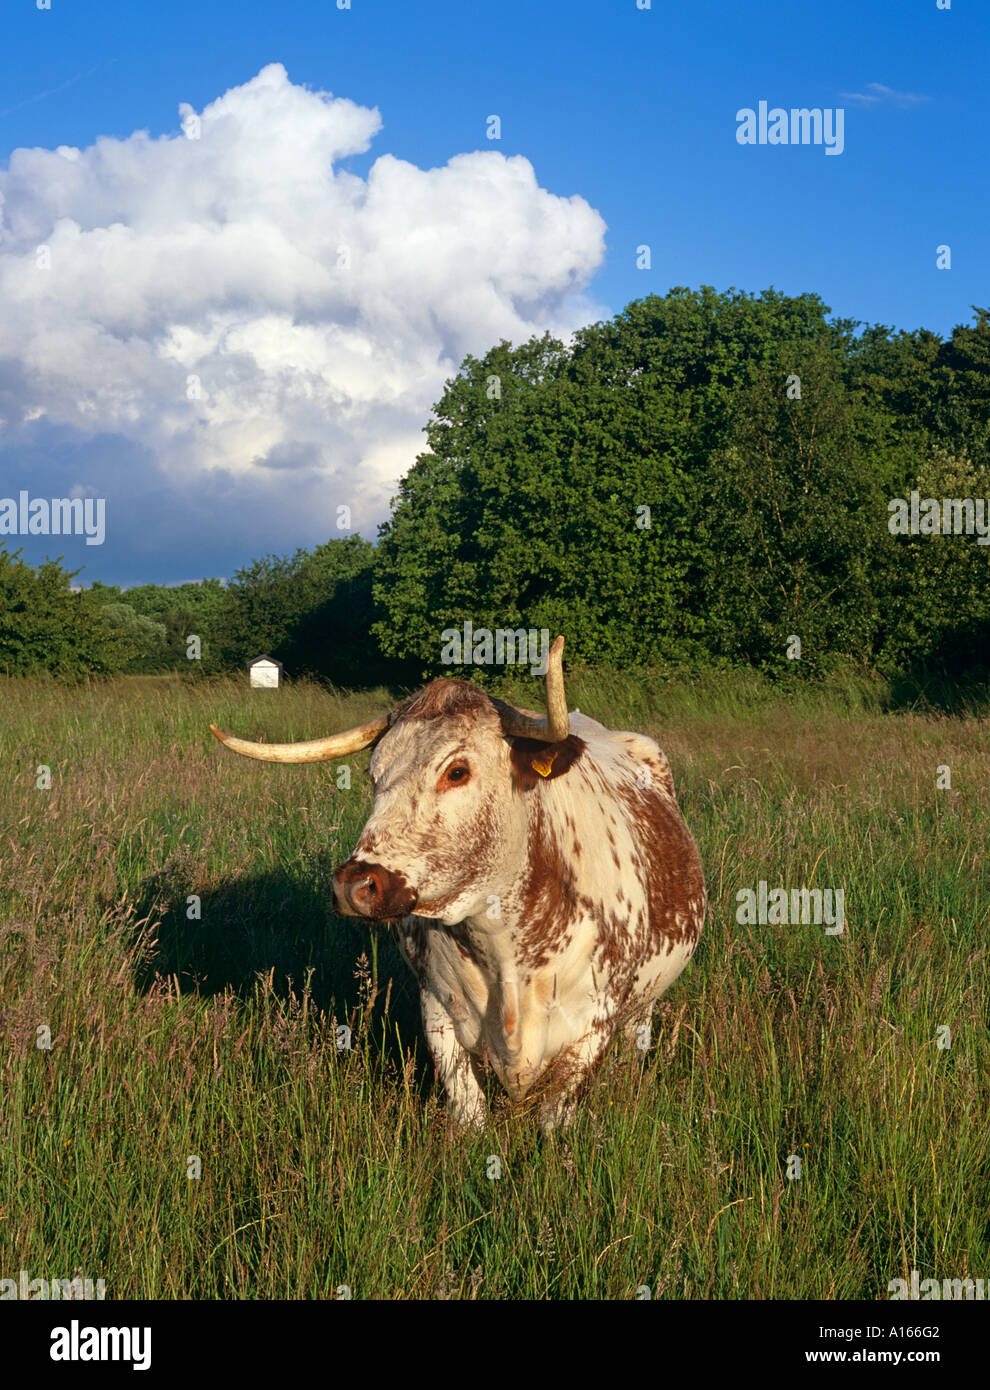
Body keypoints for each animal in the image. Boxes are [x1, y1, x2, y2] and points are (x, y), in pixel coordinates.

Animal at [210, 637, 705, 1131]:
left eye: (457, 771)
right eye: (373, 775)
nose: (354, 886)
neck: (503, 943)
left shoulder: (593, 1026)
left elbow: (555, 1118)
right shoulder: (438, 1013)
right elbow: (469, 1114)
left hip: (642, 1005)